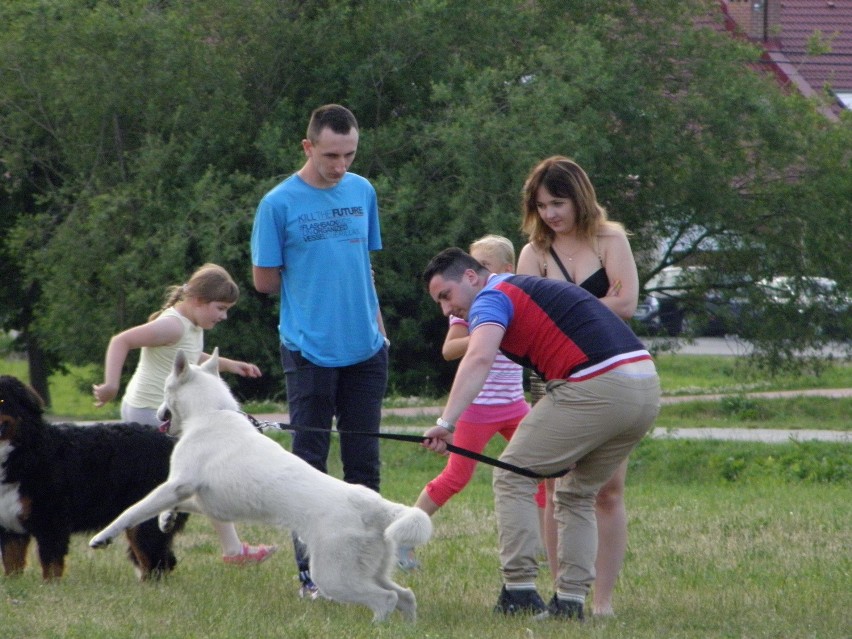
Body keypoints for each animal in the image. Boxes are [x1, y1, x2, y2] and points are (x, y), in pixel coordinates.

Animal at [0, 376, 186, 580]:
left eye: (2, 400)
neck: (24, 450)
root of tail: (171, 442)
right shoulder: (10, 527)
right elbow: (12, 567)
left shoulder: (52, 522)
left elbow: (51, 568)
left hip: (144, 522)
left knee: (155, 565)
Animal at [91, 348, 432, 624]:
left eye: (165, 390)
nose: (159, 413)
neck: (211, 414)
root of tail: (375, 505)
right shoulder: (203, 500)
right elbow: (167, 507)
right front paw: (166, 519)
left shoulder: (176, 485)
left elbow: (131, 511)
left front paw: (102, 537)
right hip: (367, 571)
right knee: (406, 595)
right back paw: (407, 628)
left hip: (333, 576)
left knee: (386, 599)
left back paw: (378, 627)